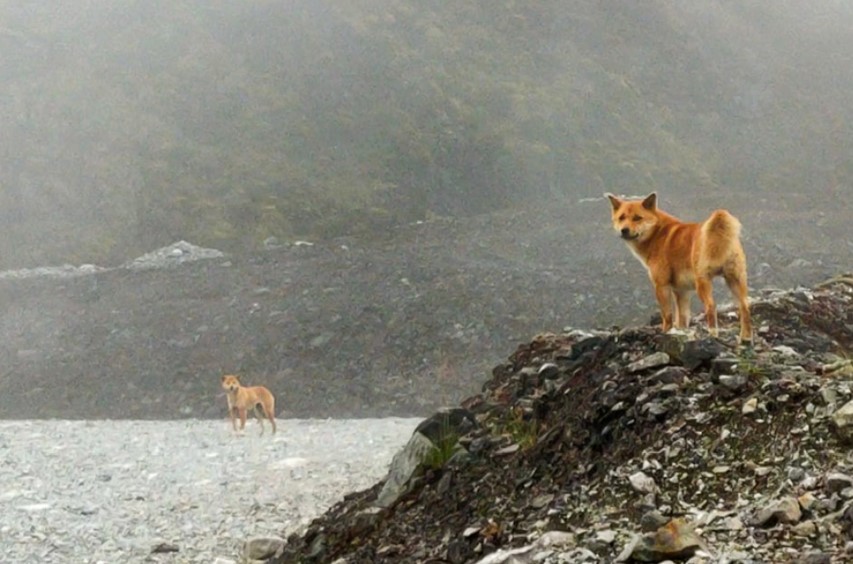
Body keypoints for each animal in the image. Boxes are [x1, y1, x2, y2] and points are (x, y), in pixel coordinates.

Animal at [604, 192, 752, 346]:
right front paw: (681, 334)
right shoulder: (682, 291)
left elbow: (667, 316)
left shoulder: (661, 286)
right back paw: (746, 338)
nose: (624, 230)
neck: (657, 233)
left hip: (702, 283)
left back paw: (713, 335)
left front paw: (666, 333)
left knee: (711, 307)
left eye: (637, 218)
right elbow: (682, 318)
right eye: (621, 217)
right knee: (745, 307)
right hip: (735, 280)